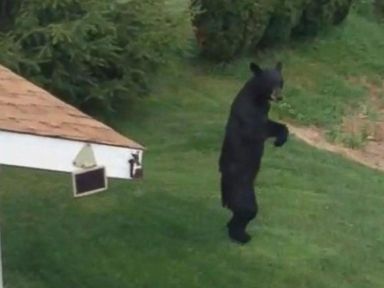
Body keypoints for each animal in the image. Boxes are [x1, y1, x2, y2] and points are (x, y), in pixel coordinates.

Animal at [219, 62, 288, 244]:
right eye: (271, 83)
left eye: (281, 82)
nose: (279, 97)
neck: (258, 97)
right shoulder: (249, 112)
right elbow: (258, 130)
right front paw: (279, 139)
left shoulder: (264, 109)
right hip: (242, 190)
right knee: (247, 210)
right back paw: (241, 236)